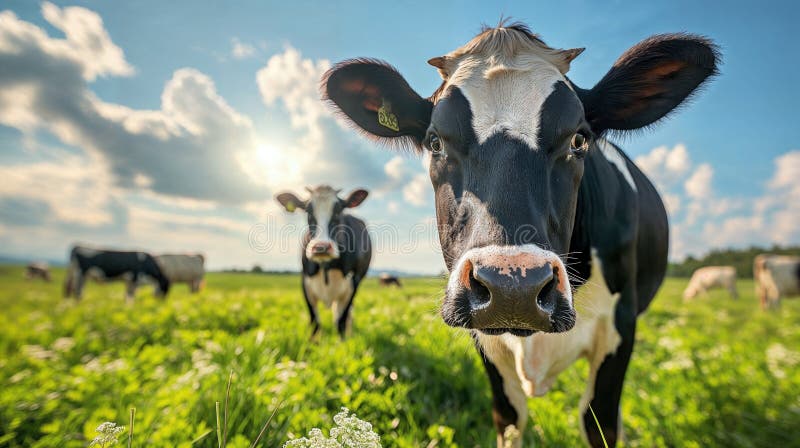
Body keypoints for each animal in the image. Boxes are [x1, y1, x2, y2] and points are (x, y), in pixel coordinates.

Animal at [275, 185, 372, 339]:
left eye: (339, 211)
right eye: (308, 212)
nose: (321, 247)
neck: (327, 265)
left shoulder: (354, 283)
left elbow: (341, 322)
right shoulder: (305, 283)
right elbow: (315, 323)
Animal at [322, 22, 718, 447]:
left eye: (579, 139)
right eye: (435, 142)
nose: (514, 286)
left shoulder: (621, 326)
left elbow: (600, 424)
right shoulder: (484, 341)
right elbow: (509, 418)